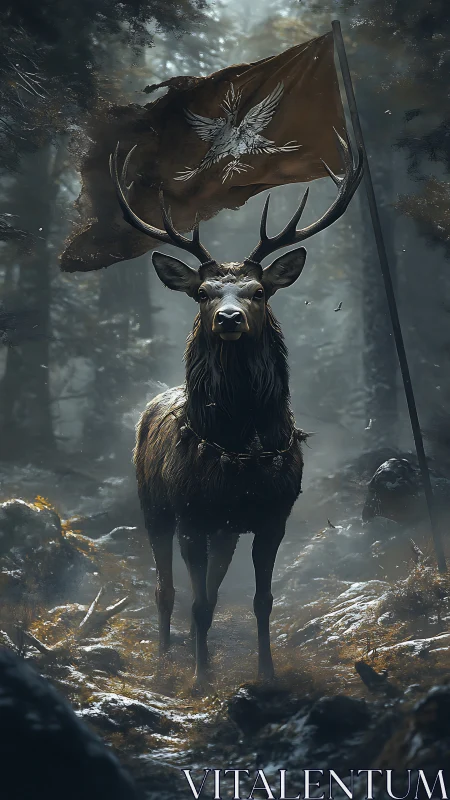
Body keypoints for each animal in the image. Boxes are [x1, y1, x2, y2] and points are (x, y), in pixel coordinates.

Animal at [110, 131, 363, 687]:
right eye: (203, 293)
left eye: (258, 291)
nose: (229, 318)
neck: (241, 442)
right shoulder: (191, 515)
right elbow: (196, 602)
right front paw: (201, 677)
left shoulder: (272, 517)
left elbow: (259, 600)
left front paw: (266, 672)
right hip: (153, 505)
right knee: (167, 590)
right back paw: (165, 657)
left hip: (224, 529)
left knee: (209, 587)